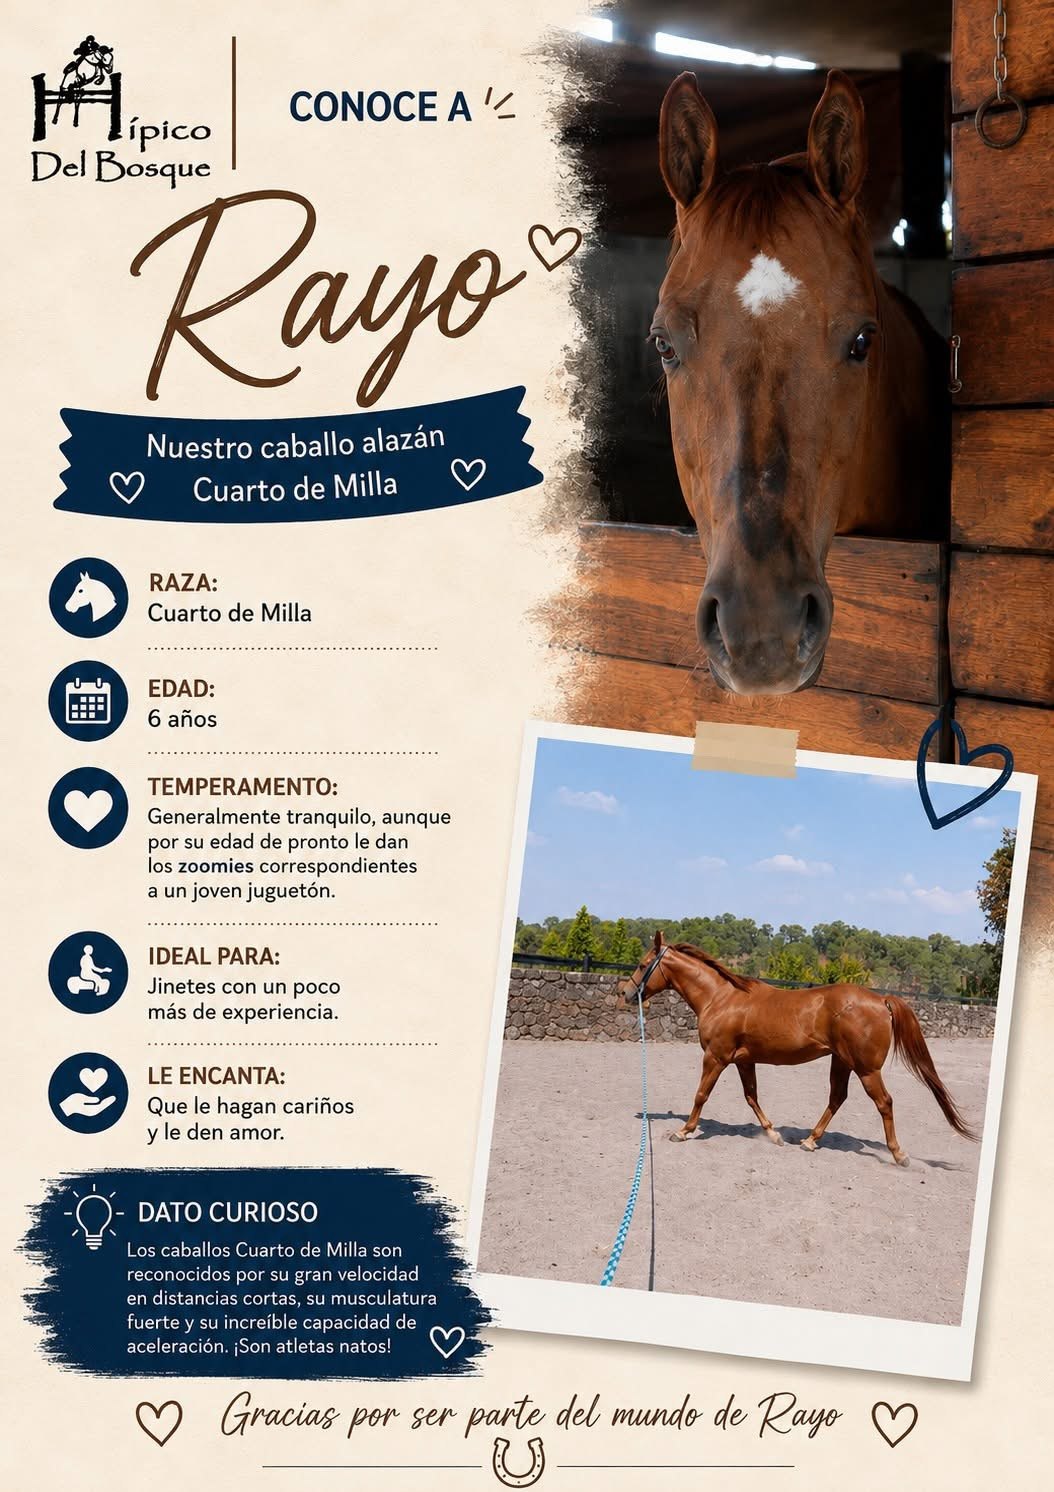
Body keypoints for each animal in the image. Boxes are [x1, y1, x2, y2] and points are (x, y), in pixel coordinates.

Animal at [618, 932, 976, 1165]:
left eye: (643, 964)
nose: (626, 993)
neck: (721, 998)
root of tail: (880, 999)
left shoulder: (715, 1058)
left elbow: (701, 1095)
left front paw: (683, 1132)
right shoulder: (743, 1061)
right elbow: (752, 1097)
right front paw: (773, 1135)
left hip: (866, 1069)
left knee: (884, 1103)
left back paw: (898, 1154)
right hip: (841, 1062)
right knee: (837, 1098)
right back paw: (809, 1141)